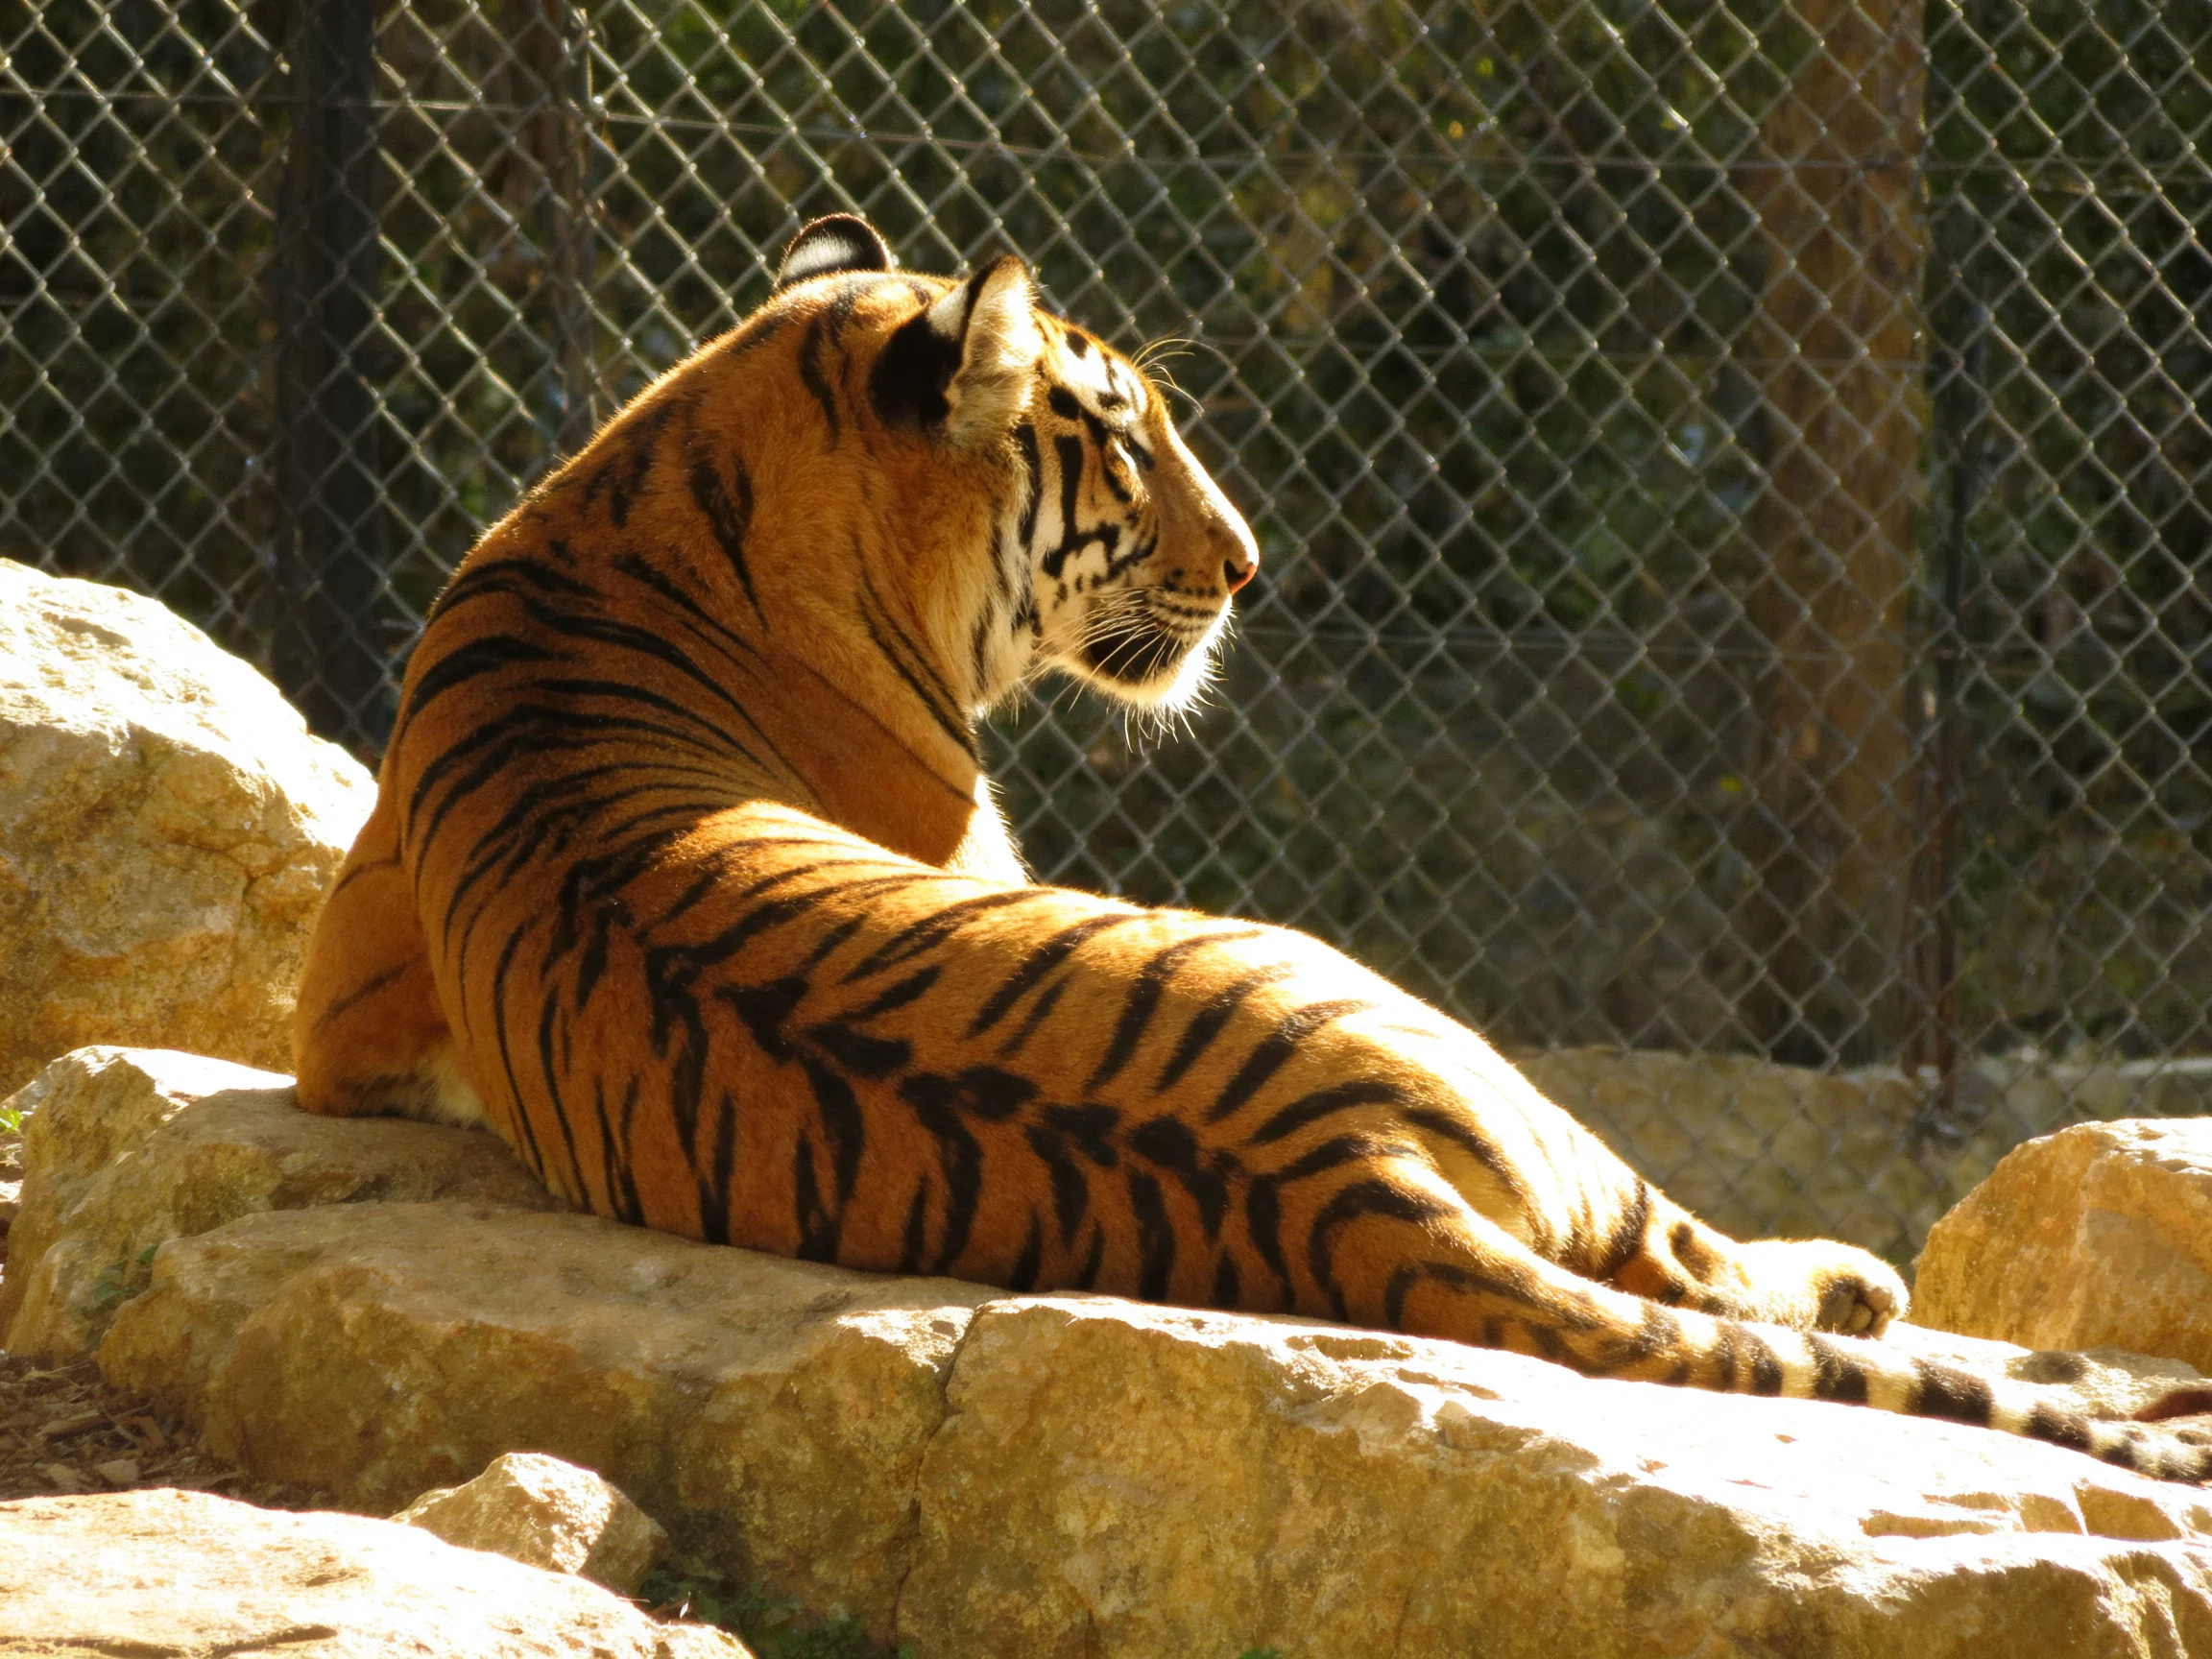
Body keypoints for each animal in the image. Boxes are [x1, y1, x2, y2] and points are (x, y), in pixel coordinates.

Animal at [294, 212, 2210, 1483]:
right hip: (1458, 1043)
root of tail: (1335, 1172)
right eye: (1127, 437)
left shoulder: (337, 1013)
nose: (1251, 562)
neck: (649, 495)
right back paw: (1862, 1277)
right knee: (1689, 1257)